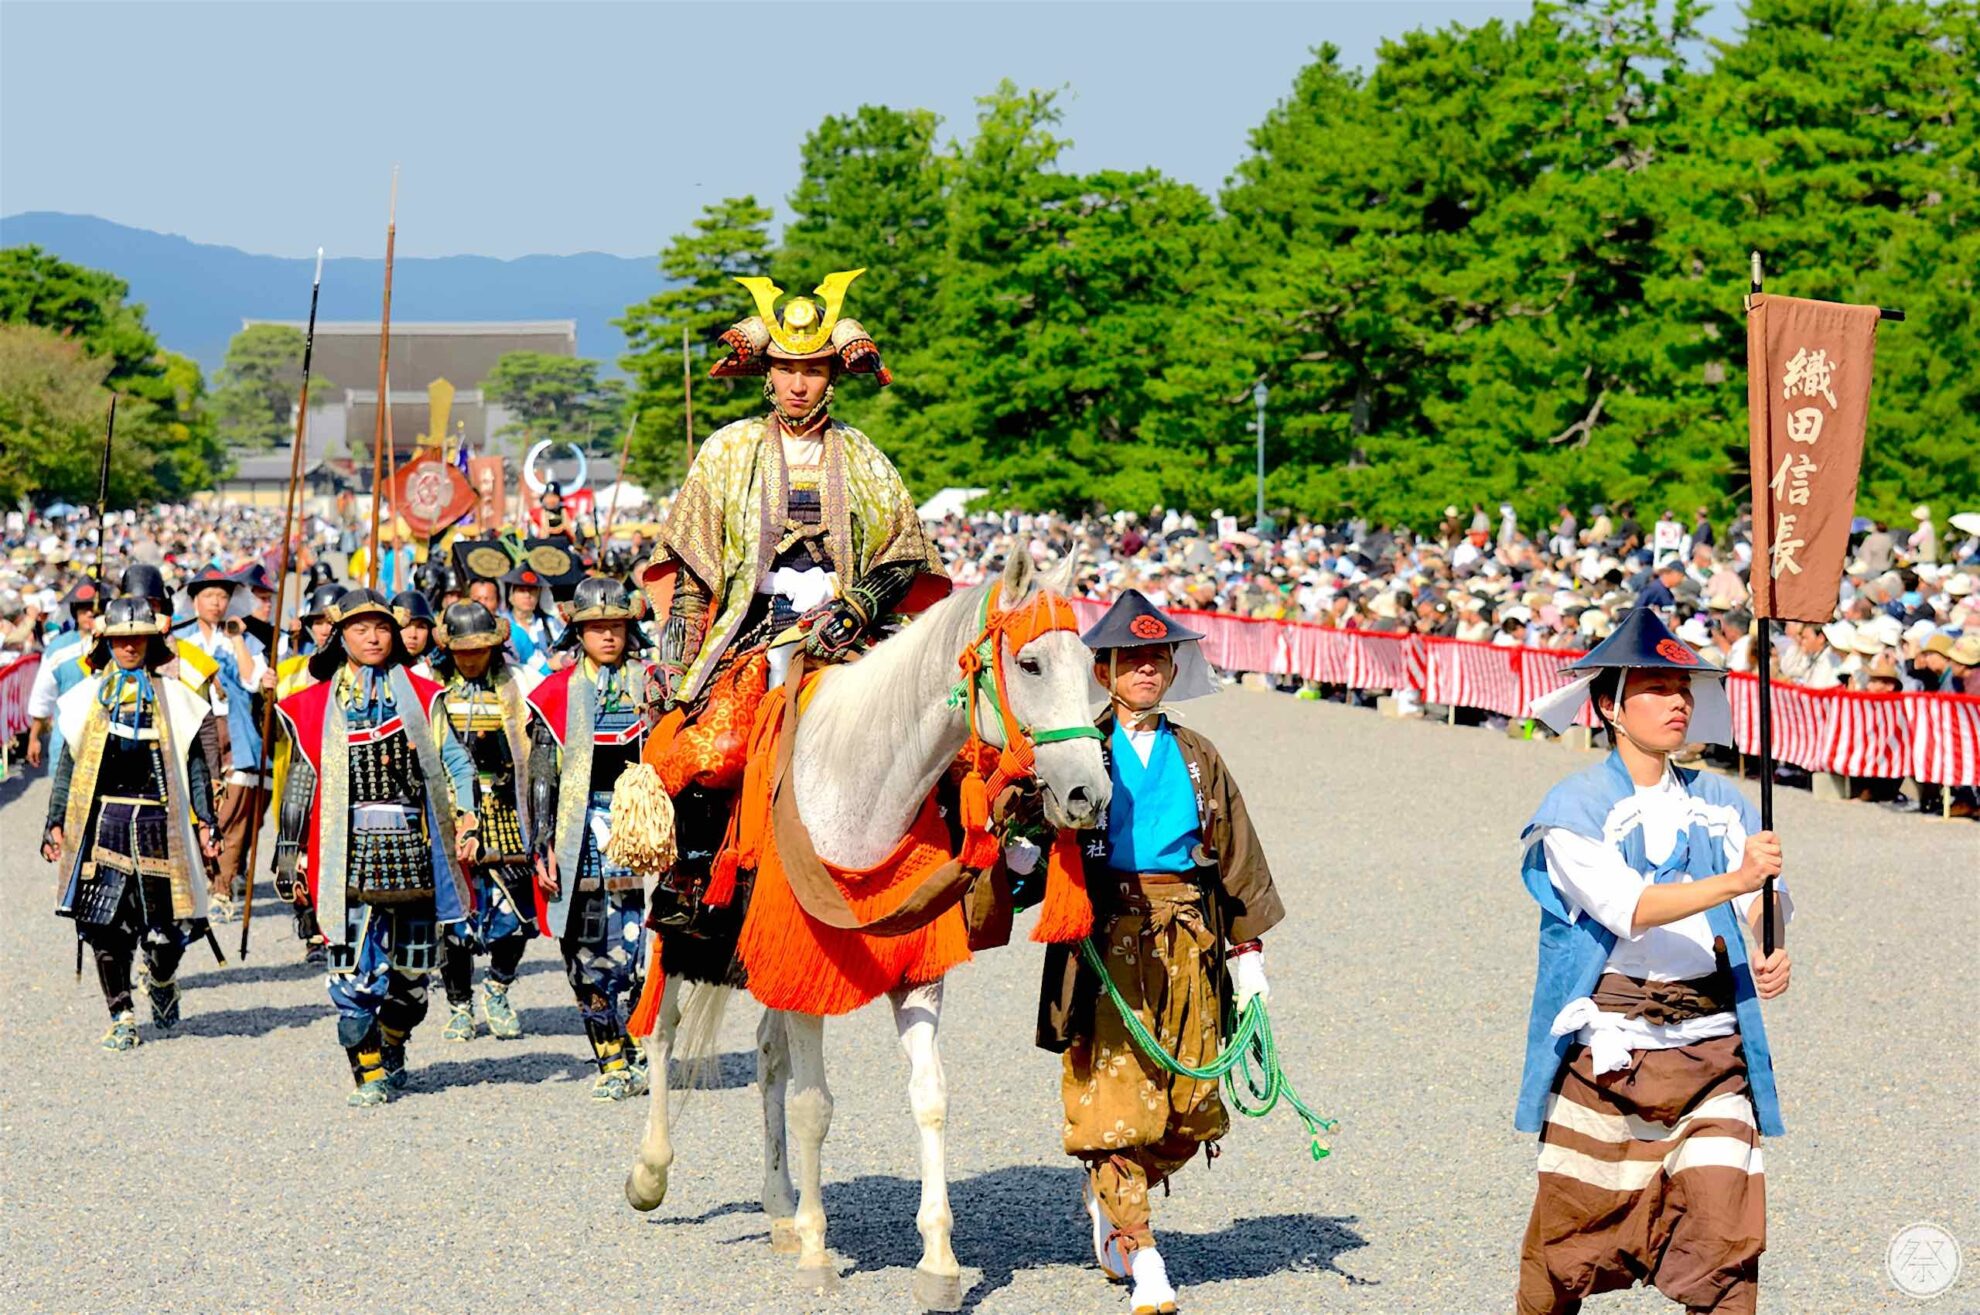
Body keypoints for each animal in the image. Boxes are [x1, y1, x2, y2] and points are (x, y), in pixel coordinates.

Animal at [625, 542, 1108, 1307]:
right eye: (1030, 664)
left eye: (1089, 663)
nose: (1090, 792)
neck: (863, 785)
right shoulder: (804, 961)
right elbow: (814, 1106)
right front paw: (819, 1253)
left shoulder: (913, 971)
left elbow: (929, 1098)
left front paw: (938, 1262)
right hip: (674, 927)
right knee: (664, 1032)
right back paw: (653, 1171)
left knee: (767, 1057)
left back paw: (779, 1206)